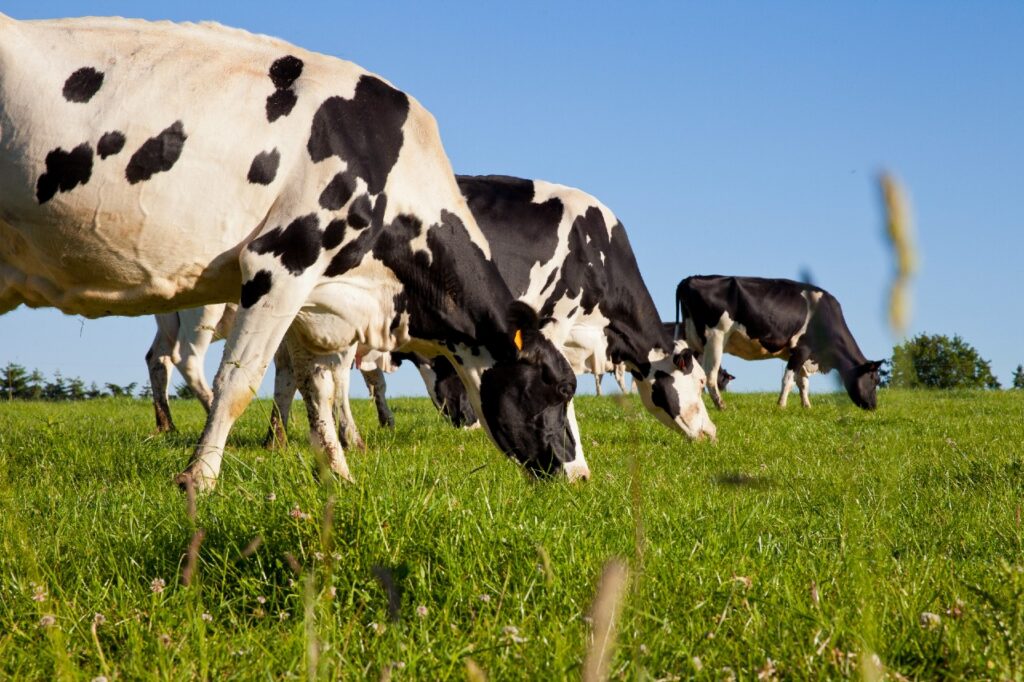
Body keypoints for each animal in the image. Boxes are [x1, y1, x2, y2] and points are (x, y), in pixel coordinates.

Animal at [0, 15, 583, 490]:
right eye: (560, 387)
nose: (580, 474)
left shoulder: (315, 297)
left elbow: (316, 389)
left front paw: (338, 473)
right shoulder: (281, 260)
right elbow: (239, 380)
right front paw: (198, 478)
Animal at [675, 275, 883, 410]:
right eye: (875, 380)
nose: (873, 407)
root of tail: (690, 279)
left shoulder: (803, 355)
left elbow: (803, 382)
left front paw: (806, 406)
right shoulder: (802, 349)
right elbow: (788, 380)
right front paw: (781, 405)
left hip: (693, 340)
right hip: (715, 336)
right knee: (710, 375)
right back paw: (721, 405)